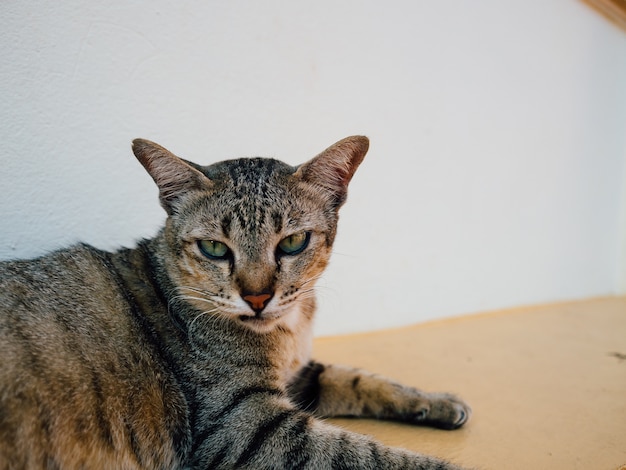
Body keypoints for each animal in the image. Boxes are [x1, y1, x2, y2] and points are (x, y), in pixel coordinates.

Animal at [0, 136, 468, 470]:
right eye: (214, 248)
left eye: (293, 242)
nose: (257, 296)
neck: (288, 332)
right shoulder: (248, 426)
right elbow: (365, 455)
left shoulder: (298, 377)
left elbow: (358, 379)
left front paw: (439, 402)